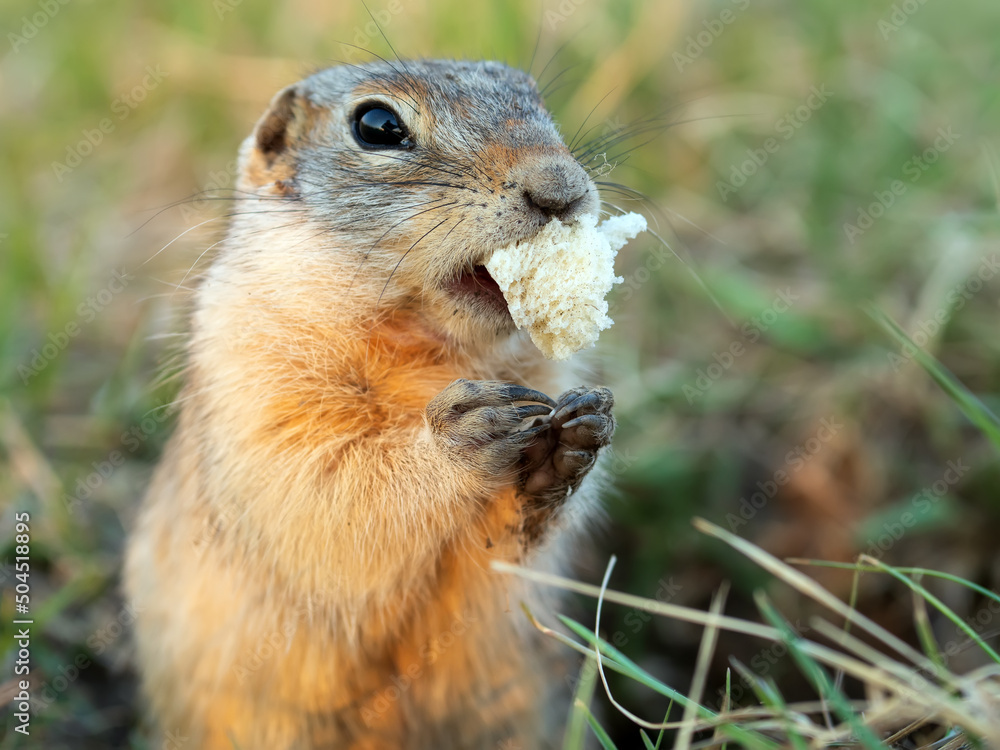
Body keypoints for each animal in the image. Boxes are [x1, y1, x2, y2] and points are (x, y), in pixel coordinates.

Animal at [127, 58, 616, 750]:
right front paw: (465, 435)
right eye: (377, 125)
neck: (427, 350)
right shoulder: (255, 384)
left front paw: (570, 438)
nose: (563, 189)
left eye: (536, 98)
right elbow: (326, 497)